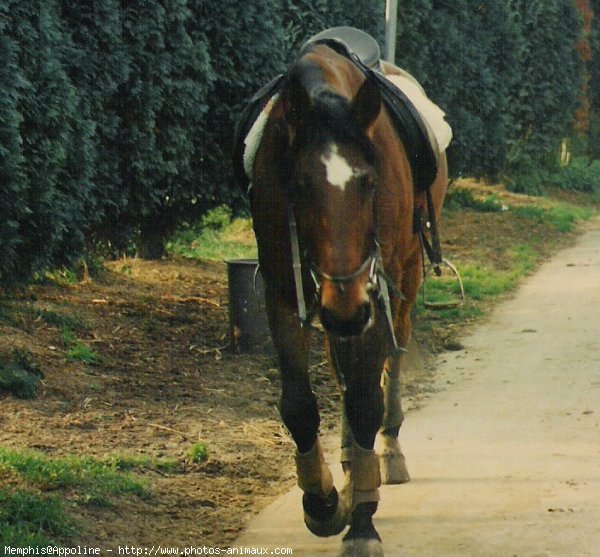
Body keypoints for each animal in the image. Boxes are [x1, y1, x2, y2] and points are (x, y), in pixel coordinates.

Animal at [239, 39, 446, 556]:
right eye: (299, 185)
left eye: (369, 182)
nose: (348, 311)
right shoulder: (284, 290)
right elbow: (299, 404)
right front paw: (323, 502)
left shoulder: (374, 291)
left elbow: (366, 400)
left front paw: (362, 522)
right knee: (344, 372)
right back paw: (352, 465)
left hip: (402, 280)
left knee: (390, 360)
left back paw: (386, 453)